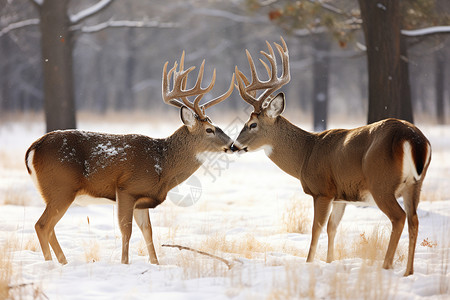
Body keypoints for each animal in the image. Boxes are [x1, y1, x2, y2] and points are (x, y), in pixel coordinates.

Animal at [25, 51, 236, 264]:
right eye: (209, 130)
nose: (232, 145)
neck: (163, 167)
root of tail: (34, 147)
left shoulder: (142, 199)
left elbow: (148, 231)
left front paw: (155, 263)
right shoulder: (127, 189)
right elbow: (126, 231)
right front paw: (124, 263)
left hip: (55, 192)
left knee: (49, 228)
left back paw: (63, 262)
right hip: (61, 187)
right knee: (42, 225)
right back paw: (52, 263)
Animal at [232, 37, 432, 276]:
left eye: (252, 124)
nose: (234, 145)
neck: (306, 153)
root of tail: (413, 137)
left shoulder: (322, 190)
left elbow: (316, 228)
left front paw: (309, 262)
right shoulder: (340, 196)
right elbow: (332, 228)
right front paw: (330, 262)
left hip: (381, 183)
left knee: (399, 218)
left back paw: (387, 265)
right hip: (415, 184)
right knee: (413, 220)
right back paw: (408, 271)